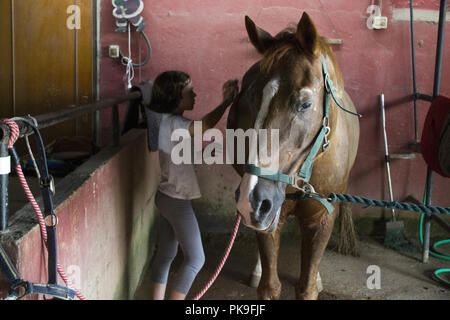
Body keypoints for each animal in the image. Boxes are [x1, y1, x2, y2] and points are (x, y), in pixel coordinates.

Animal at [227, 11, 360, 298]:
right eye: (251, 97)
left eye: (305, 104)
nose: (252, 199)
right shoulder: (271, 213)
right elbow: (270, 286)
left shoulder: (322, 217)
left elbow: (307, 286)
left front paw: (314, 278)